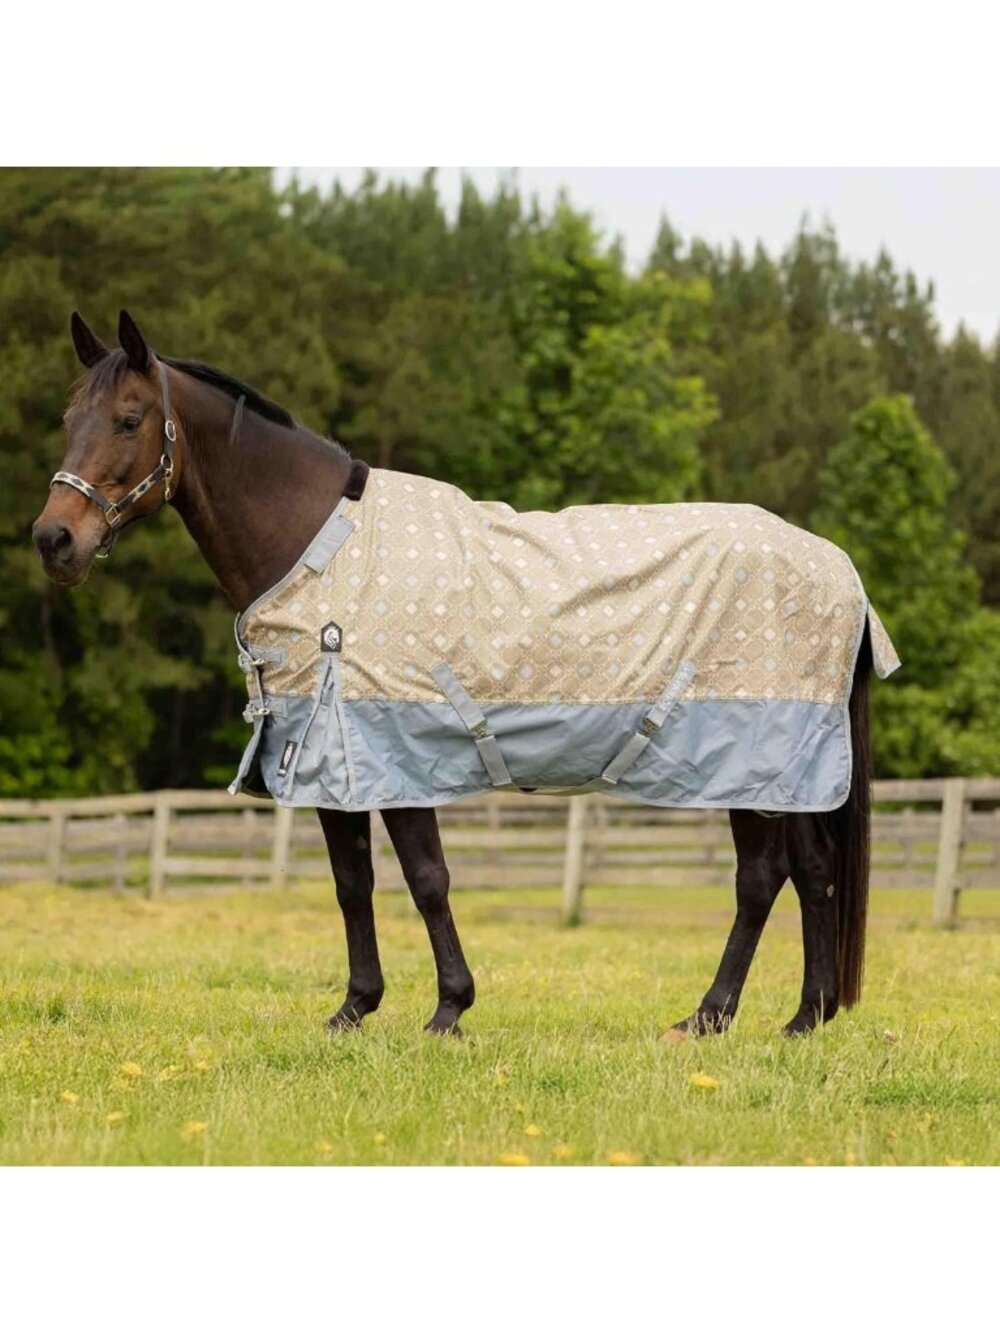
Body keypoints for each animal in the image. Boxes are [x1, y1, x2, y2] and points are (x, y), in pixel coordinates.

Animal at [33, 310, 884, 1039]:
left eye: (130, 419)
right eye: (70, 419)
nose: (54, 539)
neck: (322, 547)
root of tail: (838, 568)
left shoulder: (396, 754)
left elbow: (426, 878)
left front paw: (448, 1009)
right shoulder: (335, 758)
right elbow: (352, 882)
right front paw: (354, 1009)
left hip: (751, 762)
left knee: (761, 877)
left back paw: (707, 1016)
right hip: (791, 772)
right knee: (812, 871)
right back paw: (804, 1017)